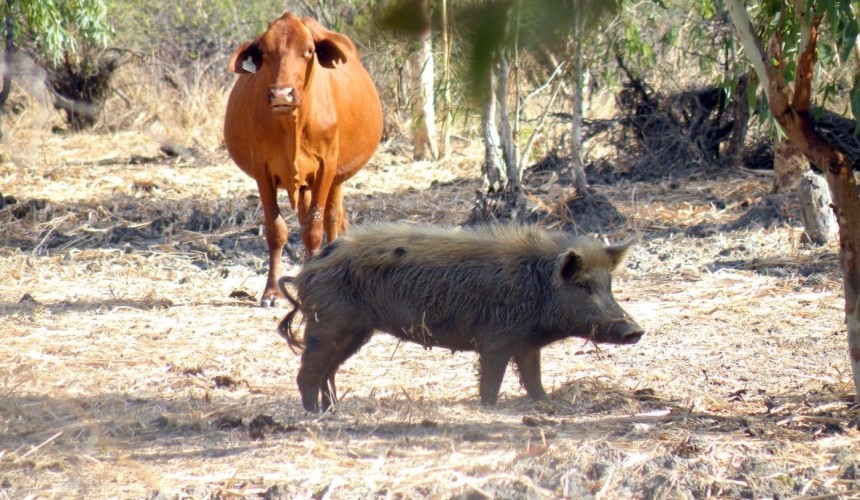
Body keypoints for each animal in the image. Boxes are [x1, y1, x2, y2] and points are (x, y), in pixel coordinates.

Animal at [278, 223, 644, 412]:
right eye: (582, 285)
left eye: (609, 285)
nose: (634, 331)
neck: (537, 289)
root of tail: (306, 270)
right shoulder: (496, 340)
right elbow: (492, 379)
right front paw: (490, 408)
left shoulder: (527, 346)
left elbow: (533, 377)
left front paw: (545, 402)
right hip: (329, 325)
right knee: (308, 373)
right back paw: (317, 414)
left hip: (353, 332)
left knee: (327, 372)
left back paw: (333, 409)